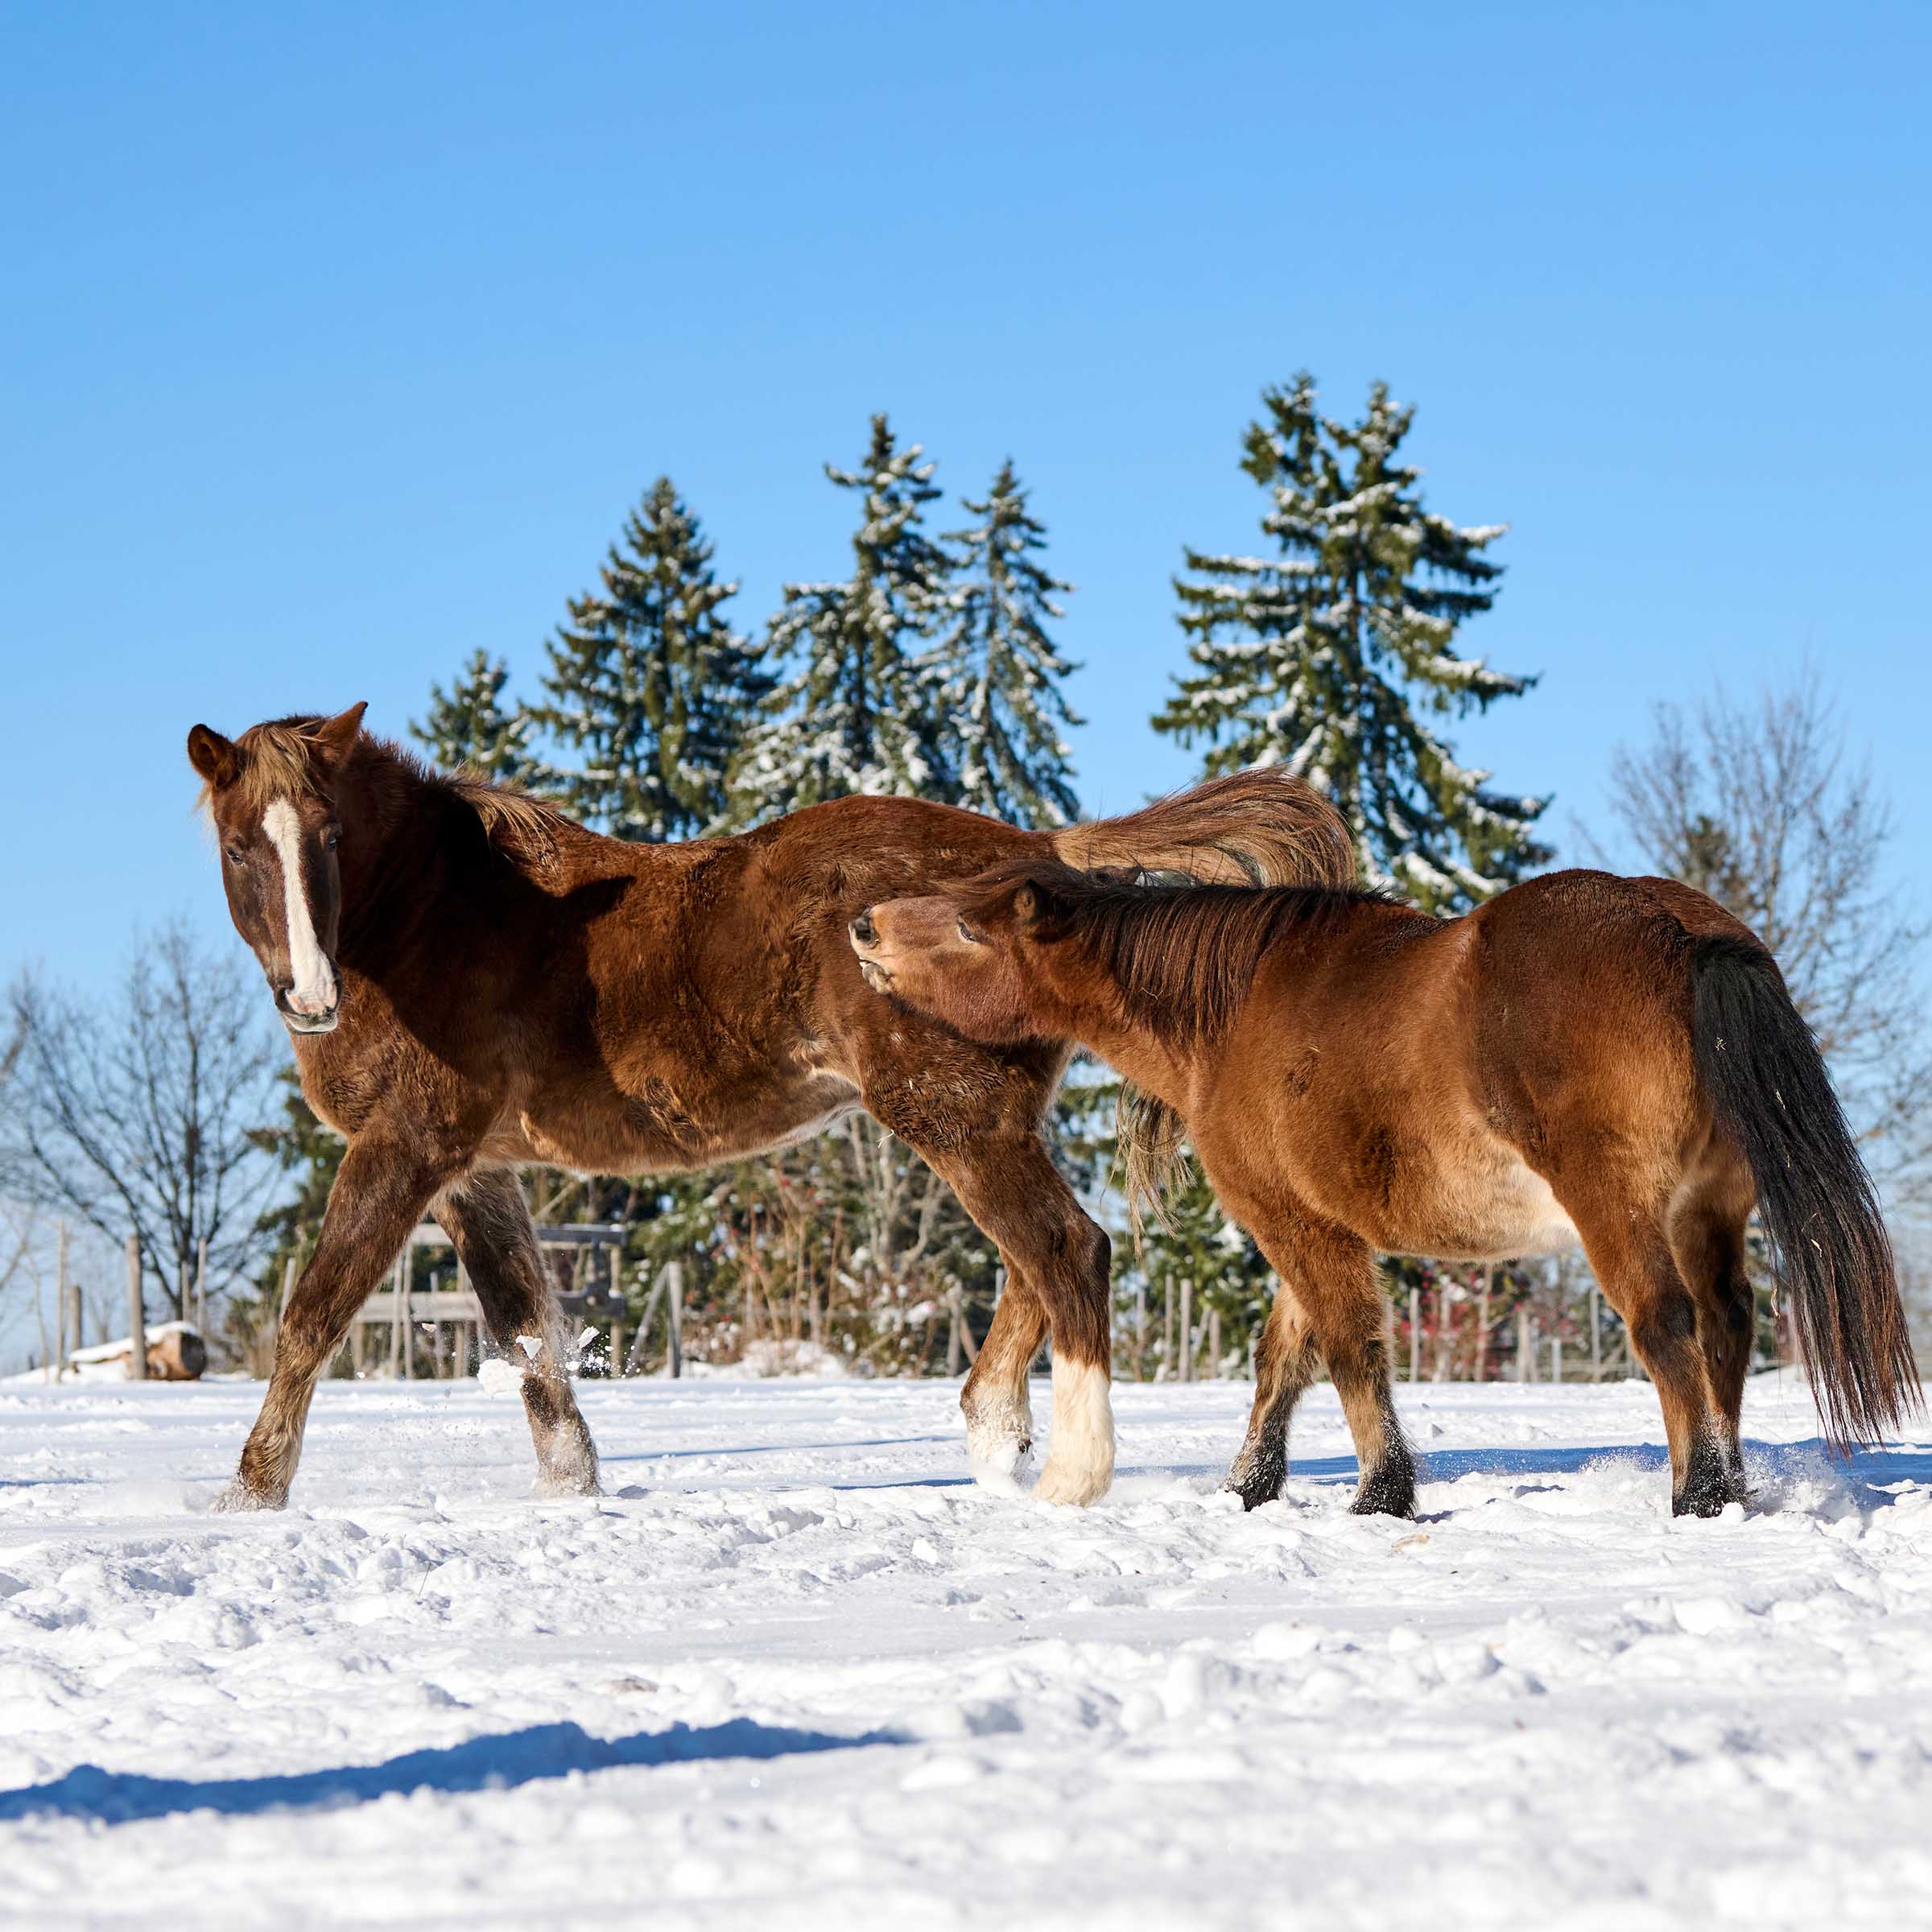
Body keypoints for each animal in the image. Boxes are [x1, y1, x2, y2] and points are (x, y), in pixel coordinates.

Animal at [186, 704, 1353, 1511]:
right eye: (242, 848)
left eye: (332, 840)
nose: (312, 1001)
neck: (438, 918)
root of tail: (1046, 858)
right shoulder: (479, 1171)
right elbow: (530, 1341)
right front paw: (573, 1491)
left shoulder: (407, 1146)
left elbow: (314, 1313)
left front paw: (248, 1493)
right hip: (982, 1119)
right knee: (1046, 1259)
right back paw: (995, 1439)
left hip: (951, 1115)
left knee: (1068, 1251)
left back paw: (1068, 1471)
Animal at [850, 859, 1922, 1518]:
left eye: (965, 926)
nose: (862, 925)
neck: (1235, 1011)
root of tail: (1685, 930)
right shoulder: (1311, 1226)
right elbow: (1283, 1358)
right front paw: (1249, 1489)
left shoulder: (1291, 1222)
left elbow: (1347, 1348)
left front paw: (1379, 1494)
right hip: (1708, 1213)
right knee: (1730, 1325)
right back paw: (1732, 1485)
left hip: (1618, 1210)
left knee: (1669, 1326)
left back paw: (1696, 1493)